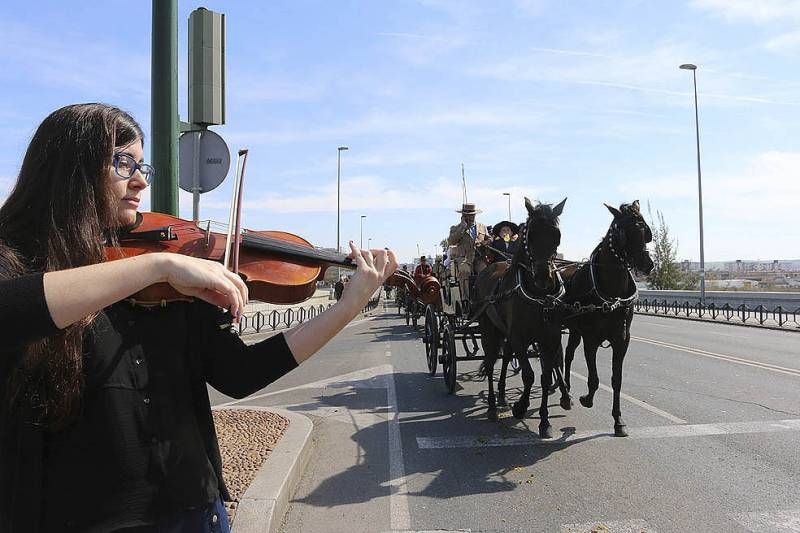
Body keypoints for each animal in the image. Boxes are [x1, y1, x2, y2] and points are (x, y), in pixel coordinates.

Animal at [472, 196, 572, 436]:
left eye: (557, 234)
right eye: (530, 233)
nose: (543, 276)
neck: (539, 297)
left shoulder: (549, 339)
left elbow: (545, 376)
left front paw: (544, 421)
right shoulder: (519, 337)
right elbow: (529, 375)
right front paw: (520, 406)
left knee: (506, 357)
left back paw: (501, 395)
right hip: (489, 329)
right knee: (490, 361)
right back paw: (492, 406)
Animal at [560, 200, 652, 436]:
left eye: (645, 230)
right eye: (624, 231)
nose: (648, 264)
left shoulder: (622, 340)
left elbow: (616, 380)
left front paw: (618, 420)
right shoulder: (591, 339)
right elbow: (594, 378)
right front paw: (587, 399)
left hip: (574, 331)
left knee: (567, 355)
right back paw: (564, 391)